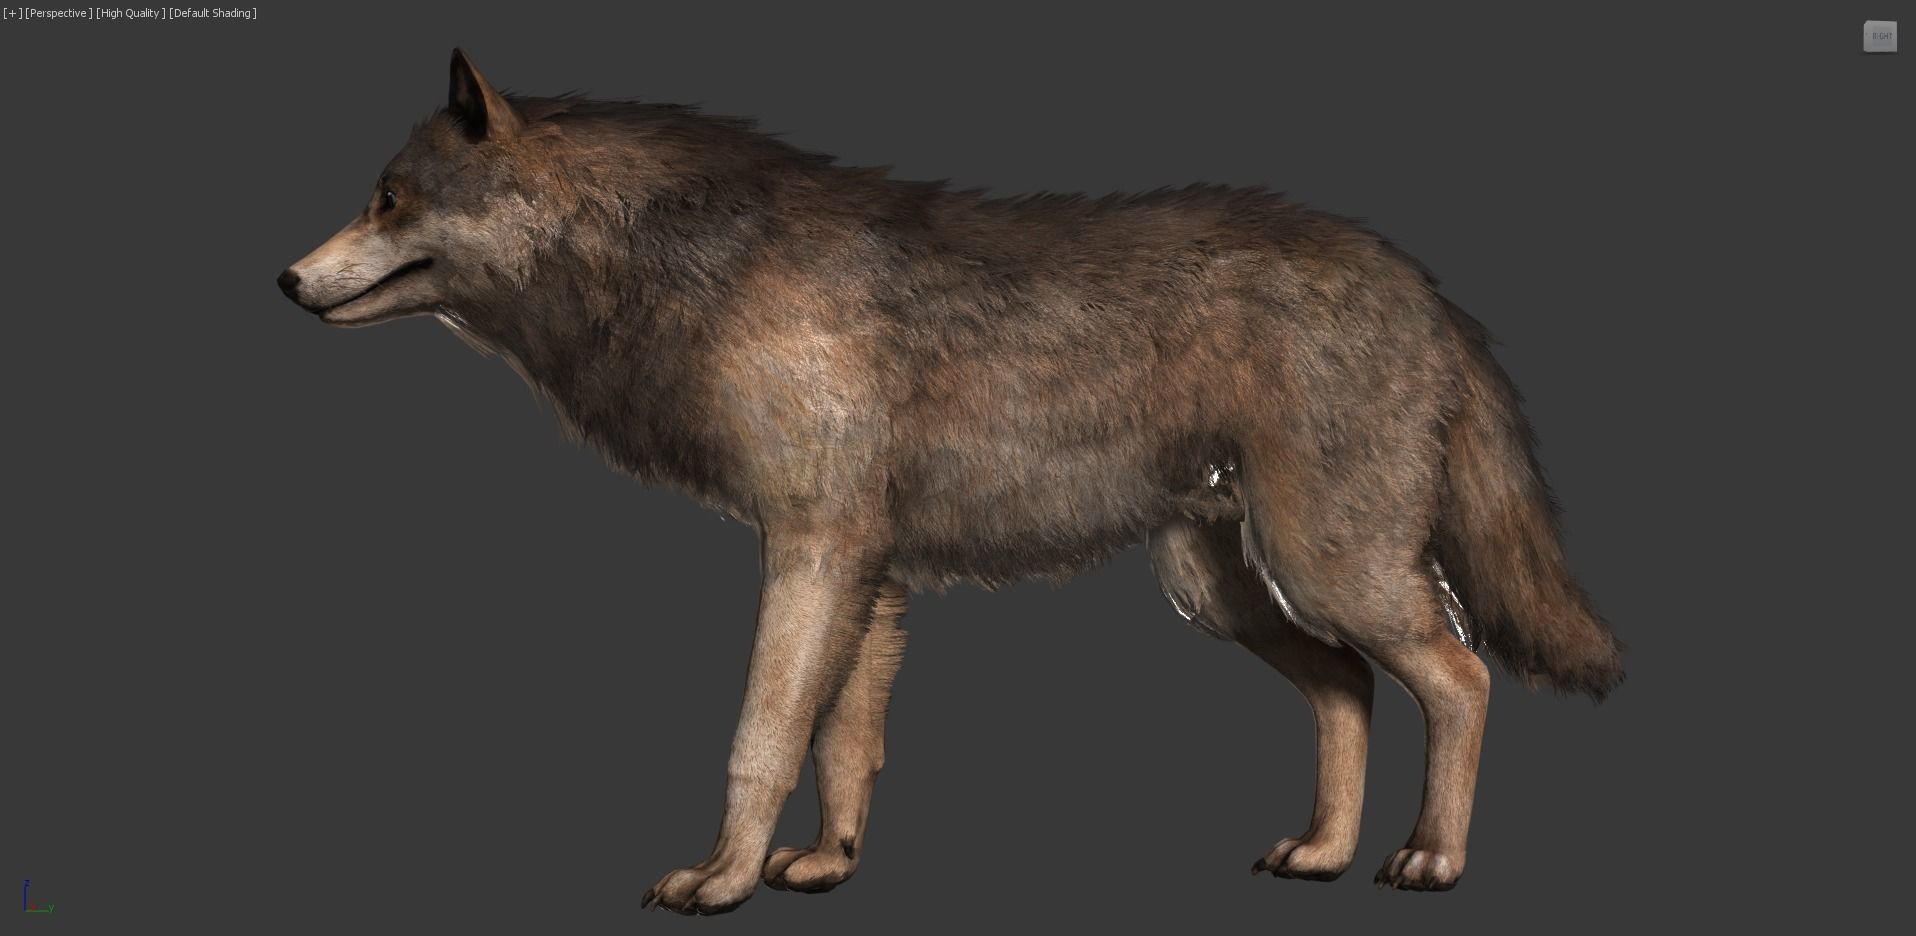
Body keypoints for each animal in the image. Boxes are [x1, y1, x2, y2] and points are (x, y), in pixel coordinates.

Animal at [278, 50, 1623, 913]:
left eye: (387, 199)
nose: (284, 280)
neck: (694, 269)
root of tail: (1420, 282)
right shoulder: (867, 571)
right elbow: (843, 742)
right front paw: (823, 867)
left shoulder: (813, 549)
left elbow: (761, 736)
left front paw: (721, 880)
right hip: (1224, 591)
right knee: (1347, 689)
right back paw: (1322, 854)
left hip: (1323, 570)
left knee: (1456, 675)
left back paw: (1431, 861)